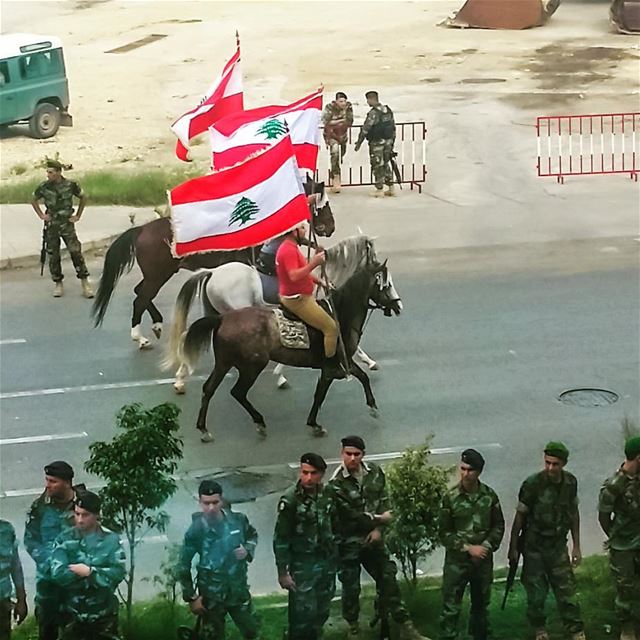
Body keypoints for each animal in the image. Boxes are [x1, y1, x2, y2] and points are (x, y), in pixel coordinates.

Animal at [90, 178, 336, 348]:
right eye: (323, 204)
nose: (330, 228)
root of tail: (141, 229)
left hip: (156, 275)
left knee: (139, 292)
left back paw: (157, 324)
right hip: (158, 276)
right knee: (140, 298)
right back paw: (139, 337)